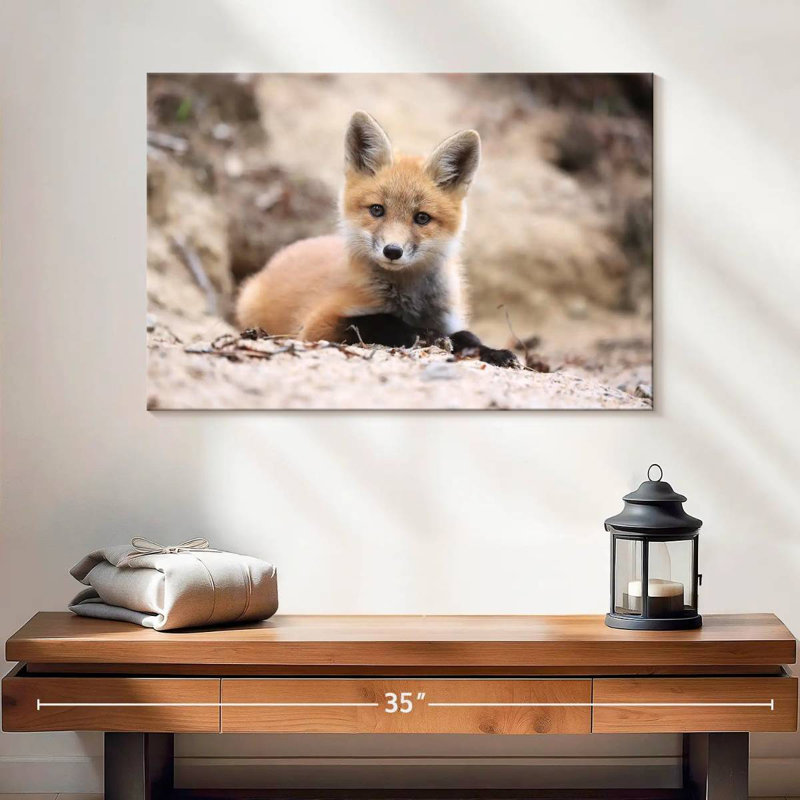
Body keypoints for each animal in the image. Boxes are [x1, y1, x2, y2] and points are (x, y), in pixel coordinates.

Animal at [236, 111, 518, 368]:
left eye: (422, 218)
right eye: (377, 210)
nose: (392, 251)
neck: (410, 301)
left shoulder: (449, 319)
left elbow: (469, 336)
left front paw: (495, 352)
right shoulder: (317, 325)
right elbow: (381, 321)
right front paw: (426, 335)